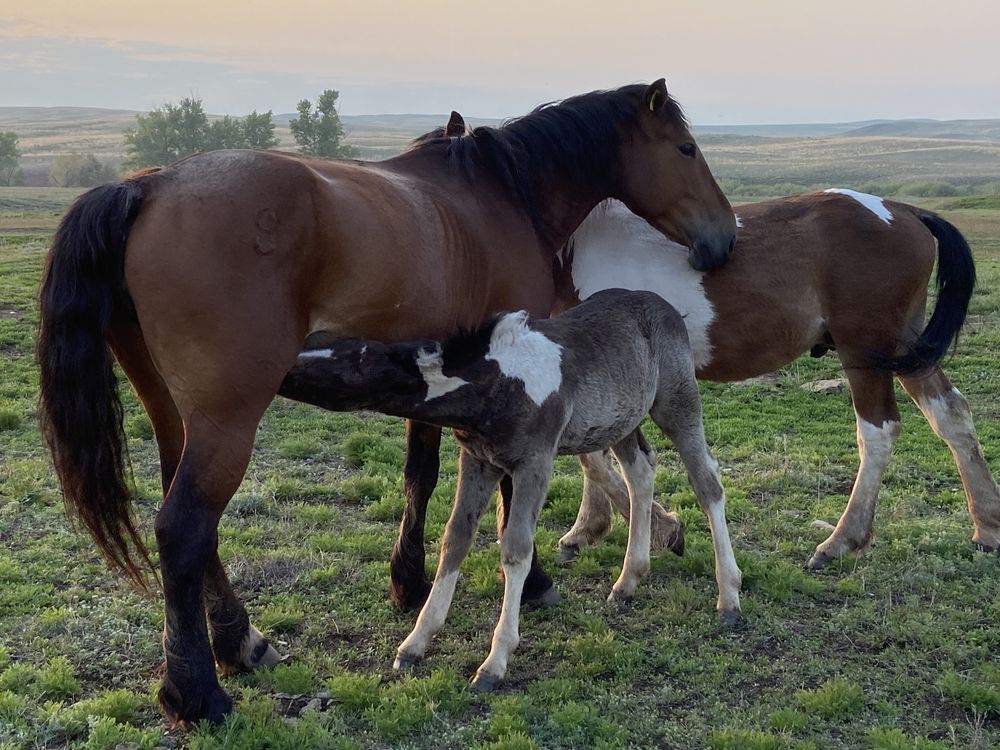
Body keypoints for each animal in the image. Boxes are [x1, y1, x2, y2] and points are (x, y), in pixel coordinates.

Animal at [282, 288, 744, 692]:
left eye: (344, 359)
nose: (280, 366)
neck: (495, 380)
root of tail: (665, 306)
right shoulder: (478, 461)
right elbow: (455, 538)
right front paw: (415, 643)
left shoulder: (534, 462)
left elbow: (516, 548)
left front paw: (494, 663)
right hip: (620, 421)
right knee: (641, 473)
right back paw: (628, 579)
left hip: (676, 402)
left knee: (707, 483)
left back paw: (729, 597)